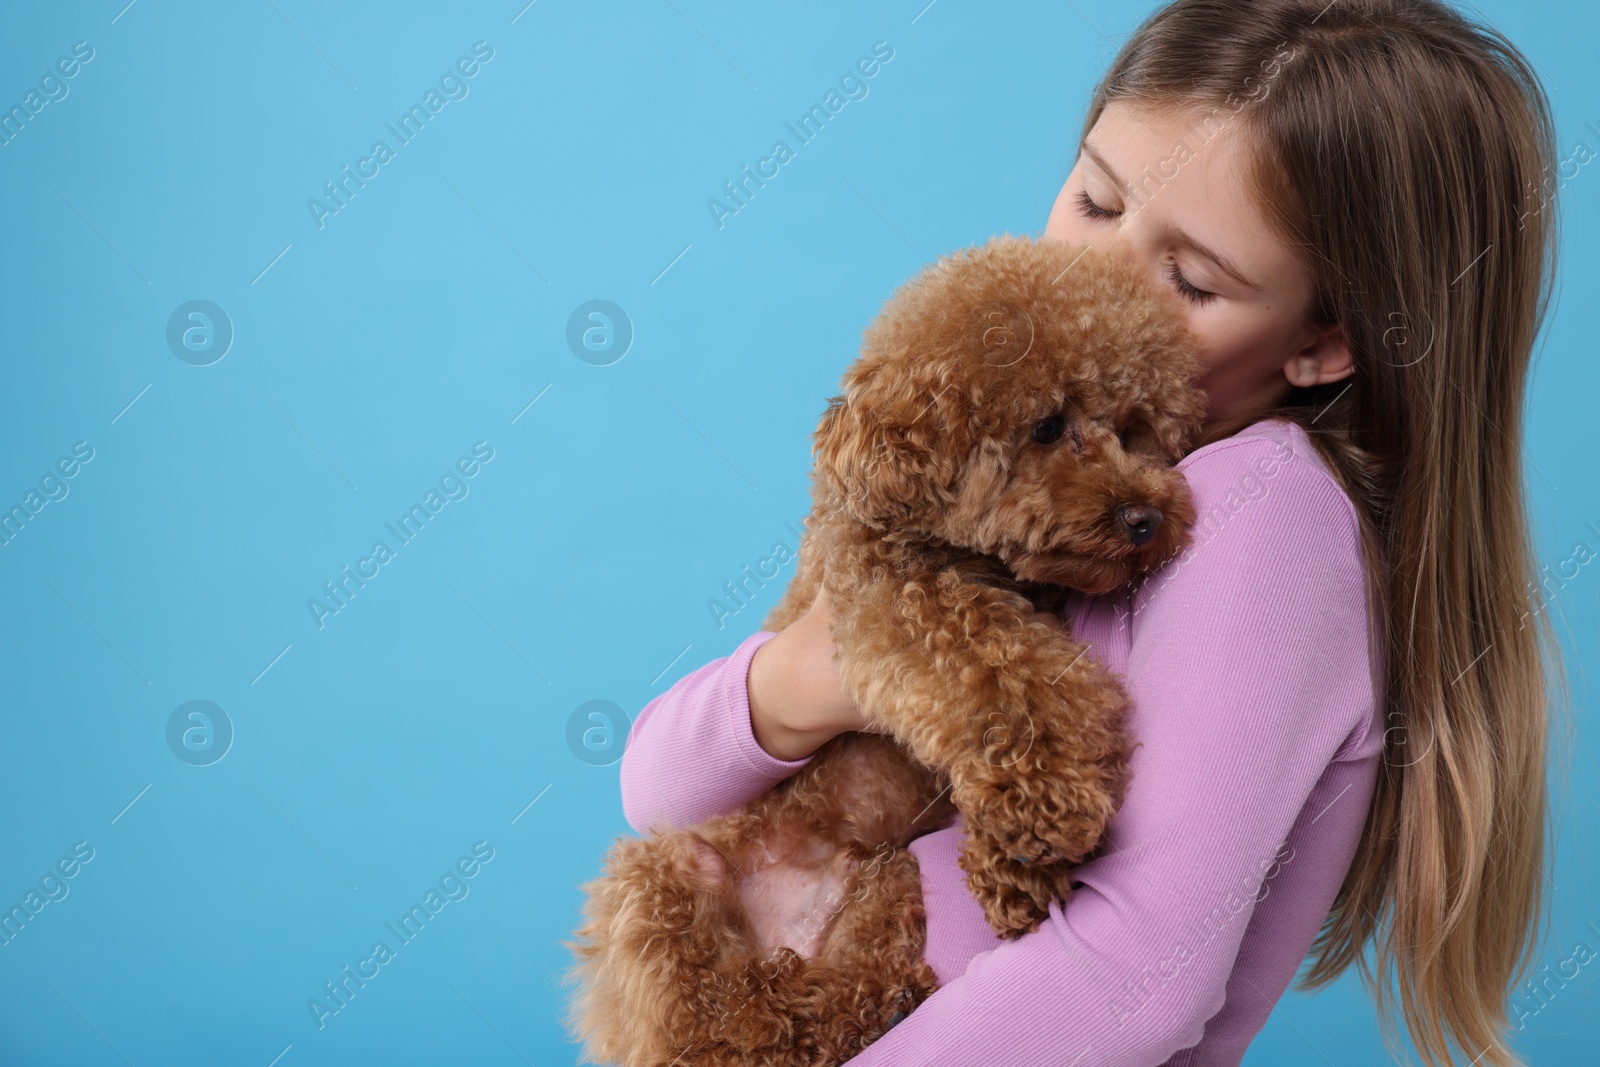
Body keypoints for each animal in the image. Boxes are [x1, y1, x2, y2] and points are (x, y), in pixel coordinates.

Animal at [563, 235, 1203, 1067]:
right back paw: (756, 1017)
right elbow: (1007, 685)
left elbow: (1047, 690)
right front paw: (1041, 816)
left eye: (1133, 429)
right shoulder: (895, 607)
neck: (970, 555)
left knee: (835, 997)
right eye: (1046, 426)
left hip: (884, 879)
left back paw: (851, 1003)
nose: (1143, 518)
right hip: (658, 882)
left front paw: (1016, 862)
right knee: (714, 1029)